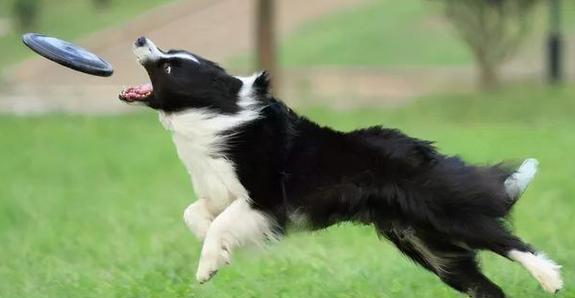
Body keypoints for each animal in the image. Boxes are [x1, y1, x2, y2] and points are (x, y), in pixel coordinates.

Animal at [119, 37, 564, 298]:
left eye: (170, 67)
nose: (140, 39)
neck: (214, 116)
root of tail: (421, 148)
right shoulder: (220, 191)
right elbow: (195, 213)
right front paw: (215, 248)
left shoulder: (265, 201)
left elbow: (222, 223)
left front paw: (208, 264)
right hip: (426, 243)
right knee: (484, 287)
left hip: (442, 213)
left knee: (507, 240)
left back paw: (550, 277)